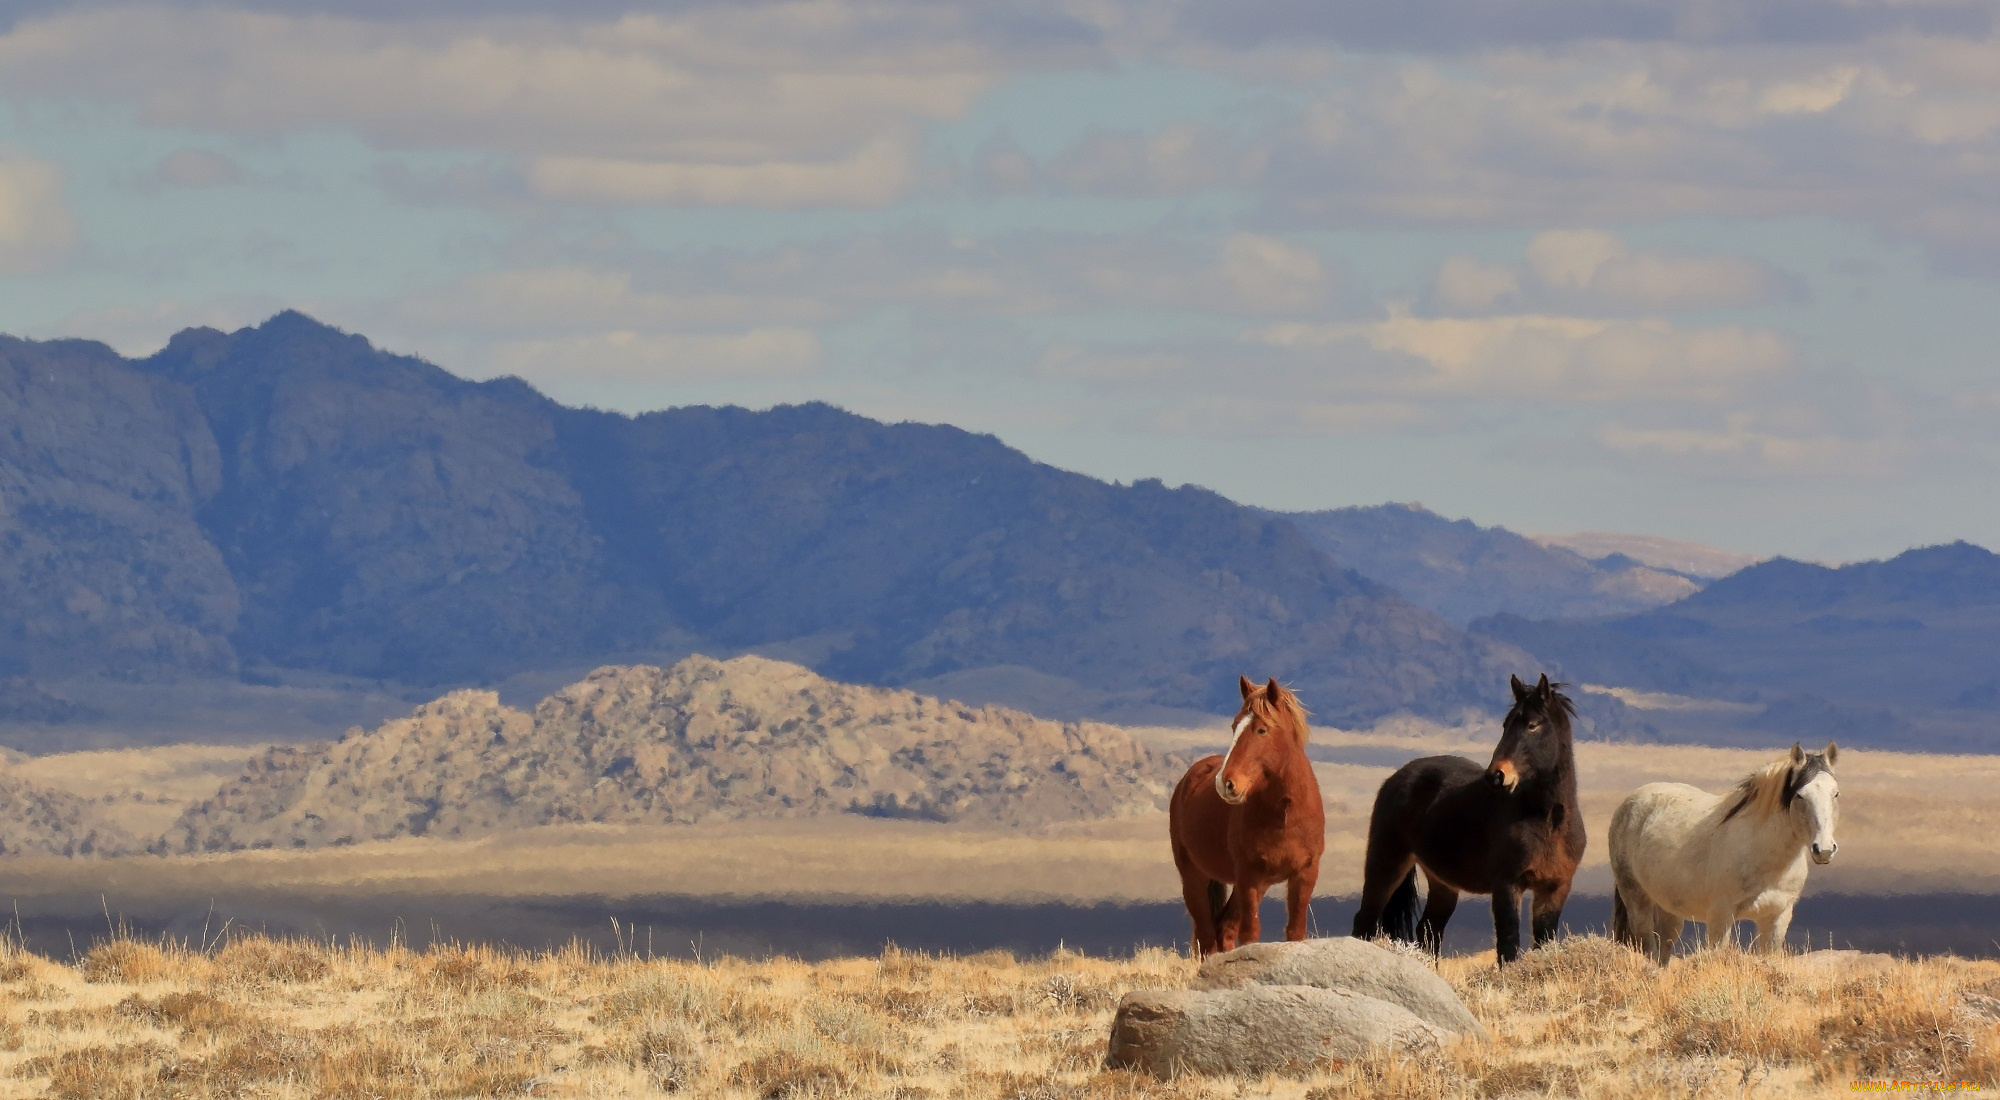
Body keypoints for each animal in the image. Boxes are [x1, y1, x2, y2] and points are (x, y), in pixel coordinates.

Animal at [1168, 676, 1320, 960]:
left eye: (1261, 730)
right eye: (1234, 726)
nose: (1225, 783)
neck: (1283, 815)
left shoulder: (1305, 874)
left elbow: (1295, 932)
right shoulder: (1249, 876)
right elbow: (1250, 934)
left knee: (1223, 928)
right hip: (1194, 877)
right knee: (1207, 936)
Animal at [1352, 676, 1584, 972]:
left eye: (1532, 725)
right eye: (1506, 724)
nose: (1496, 775)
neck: (1547, 822)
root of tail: (1394, 779)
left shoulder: (1555, 888)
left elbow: (1544, 942)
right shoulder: (1507, 885)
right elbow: (1508, 942)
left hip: (1442, 883)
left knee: (1429, 930)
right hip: (1387, 864)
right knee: (1366, 920)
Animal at [1608, 748, 1840, 972]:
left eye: (1835, 793)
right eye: (1800, 795)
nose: (1824, 849)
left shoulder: (1778, 916)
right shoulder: (1721, 915)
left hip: (1668, 907)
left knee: (1663, 946)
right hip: (1636, 897)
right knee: (1647, 944)